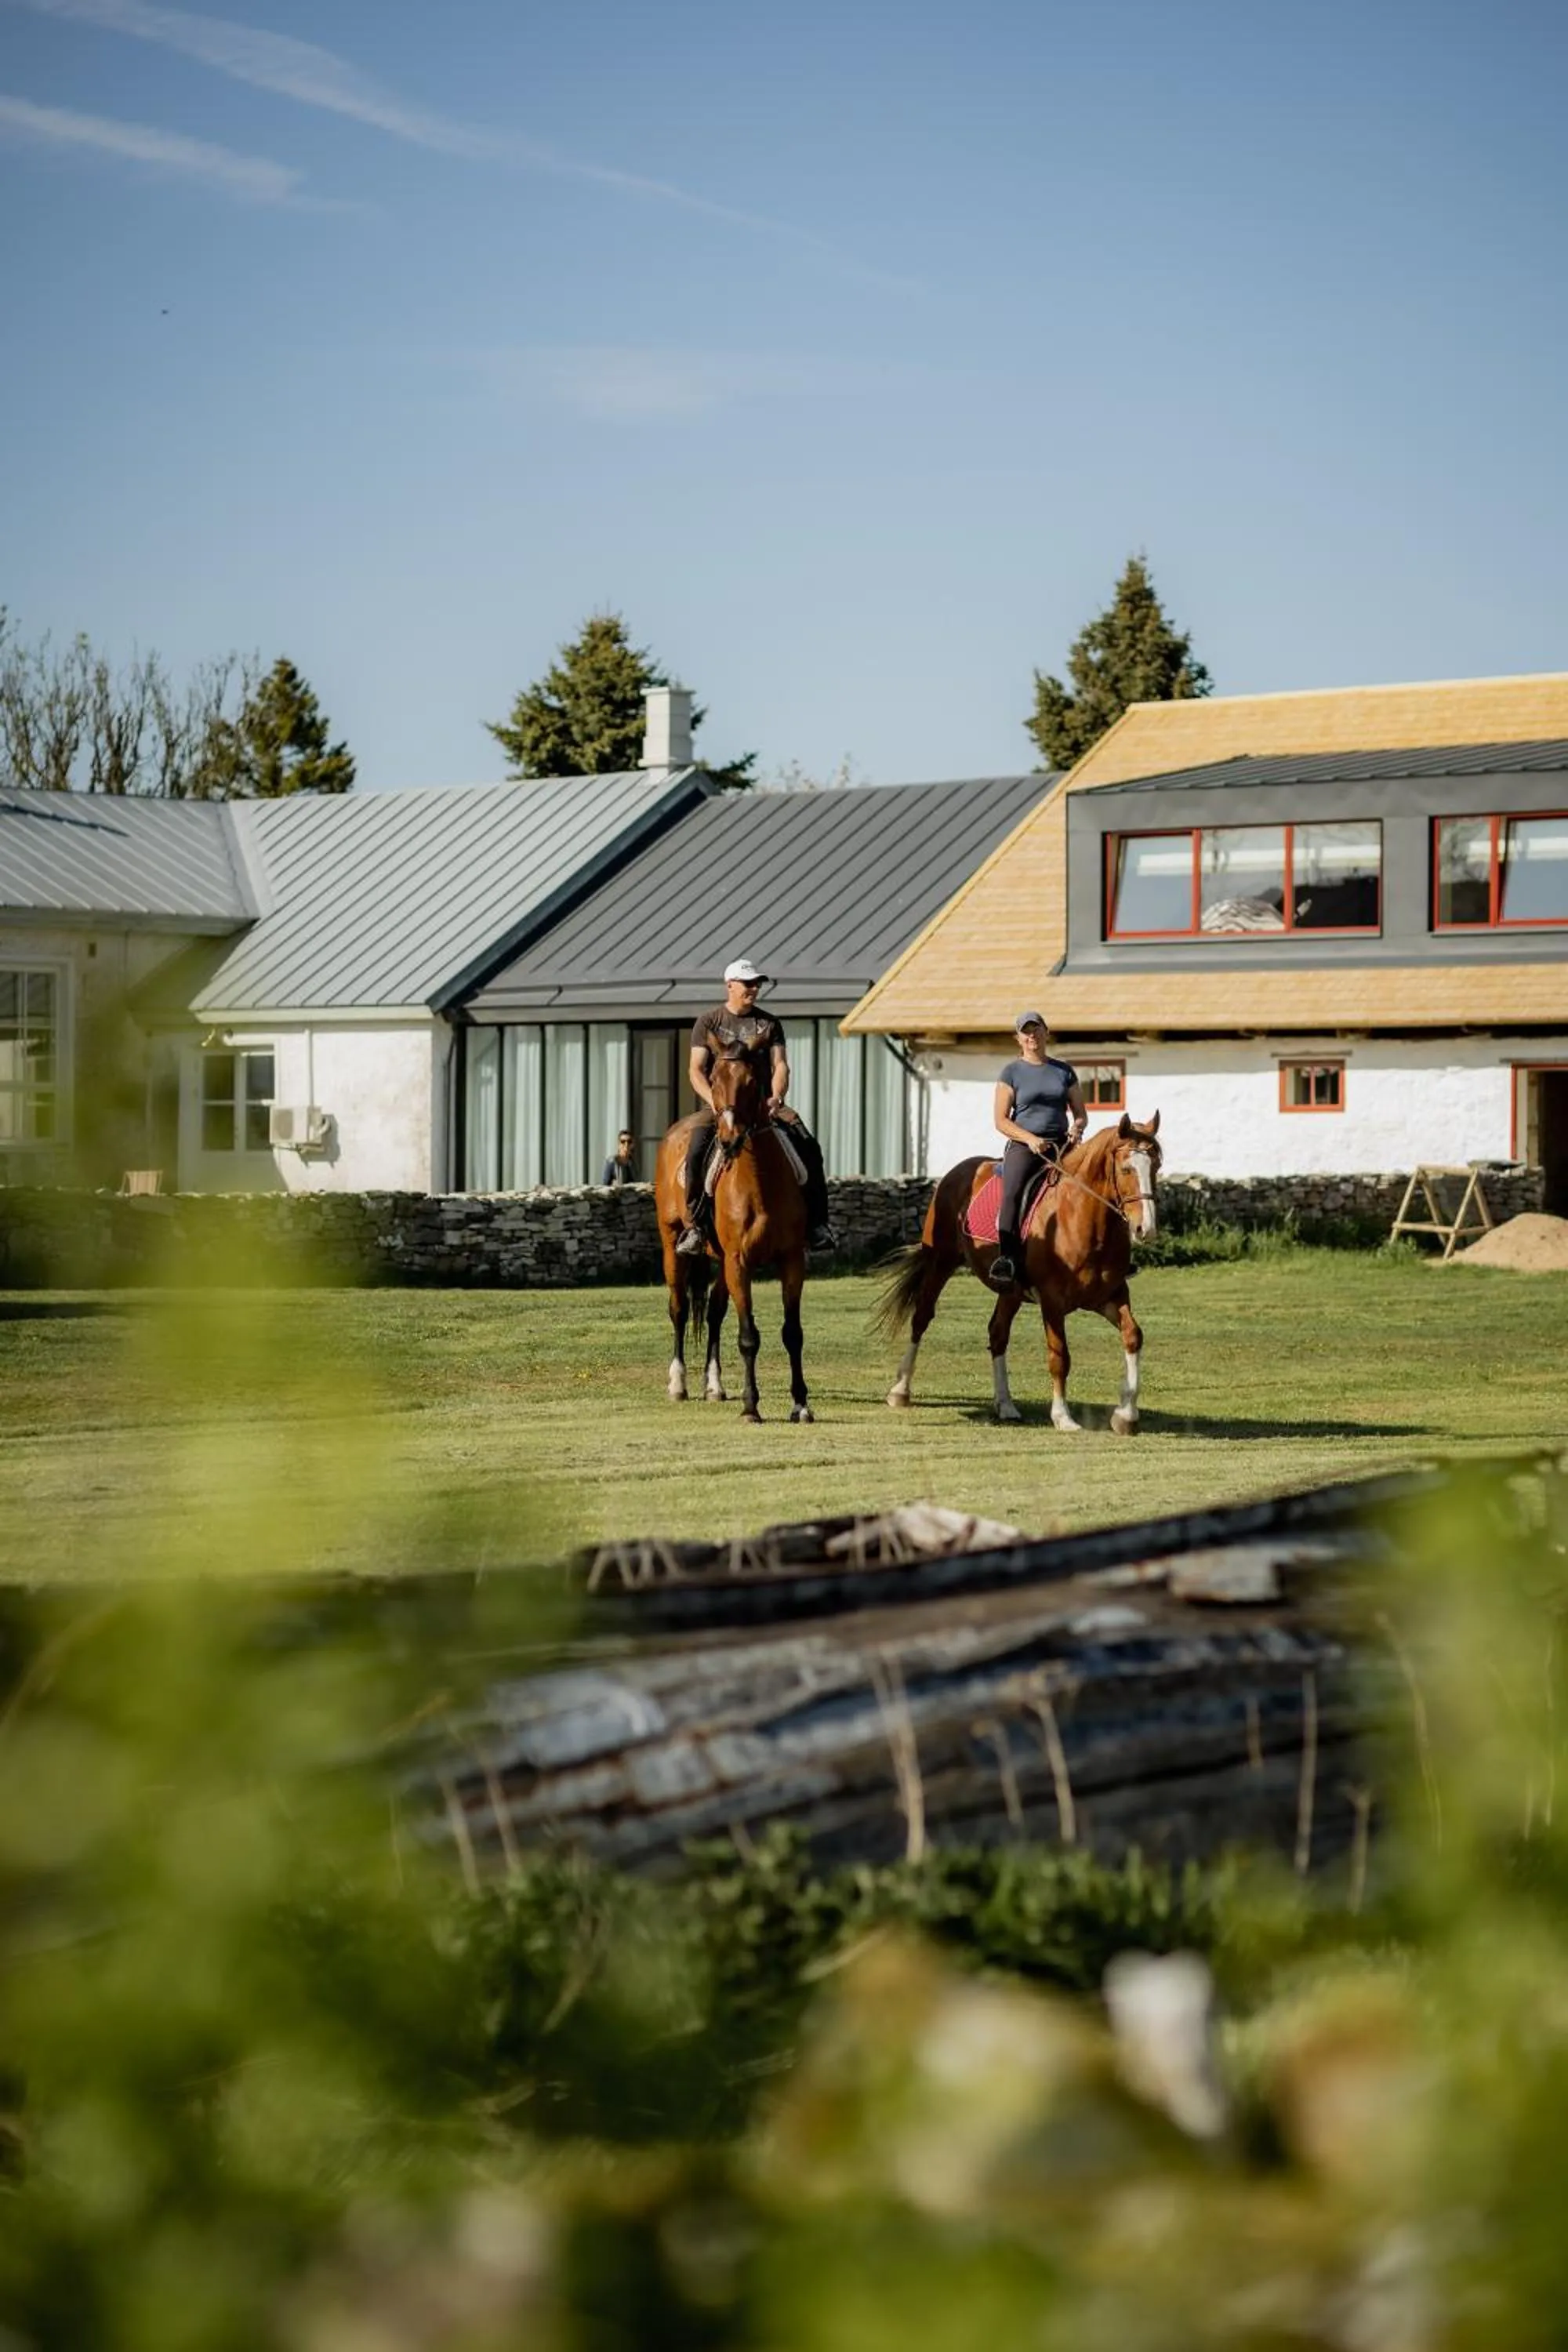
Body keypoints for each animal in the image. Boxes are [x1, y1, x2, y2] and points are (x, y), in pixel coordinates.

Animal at [653, 1050, 813, 1425]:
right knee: (679, 1308)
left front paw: (800, 1404)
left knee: (714, 1313)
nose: (729, 1138)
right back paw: (678, 1384)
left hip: (723, 1261)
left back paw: (714, 1385)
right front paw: (751, 1407)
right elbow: (748, 1336)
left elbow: (792, 1333)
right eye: (714, 1080)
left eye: (753, 1082)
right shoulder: (739, 1262)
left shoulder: (791, 1260)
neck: (761, 1181)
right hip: (673, 1246)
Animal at [877, 1112, 1163, 1433]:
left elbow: (1133, 1336)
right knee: (922, 1318)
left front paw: (1126, 1415)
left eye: (1156, 1166)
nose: (1146, 1229)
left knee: (997, 1334)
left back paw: (1005, 1405)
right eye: (1126, 1168)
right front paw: (1063, 1417)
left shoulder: (1111, 1295)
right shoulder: (1052, 1301)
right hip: (941, 1263)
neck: (1084, 1220)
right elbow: (1059, 1356)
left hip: (1010, 1291)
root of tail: (958, 1171)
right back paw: (900, 1390)